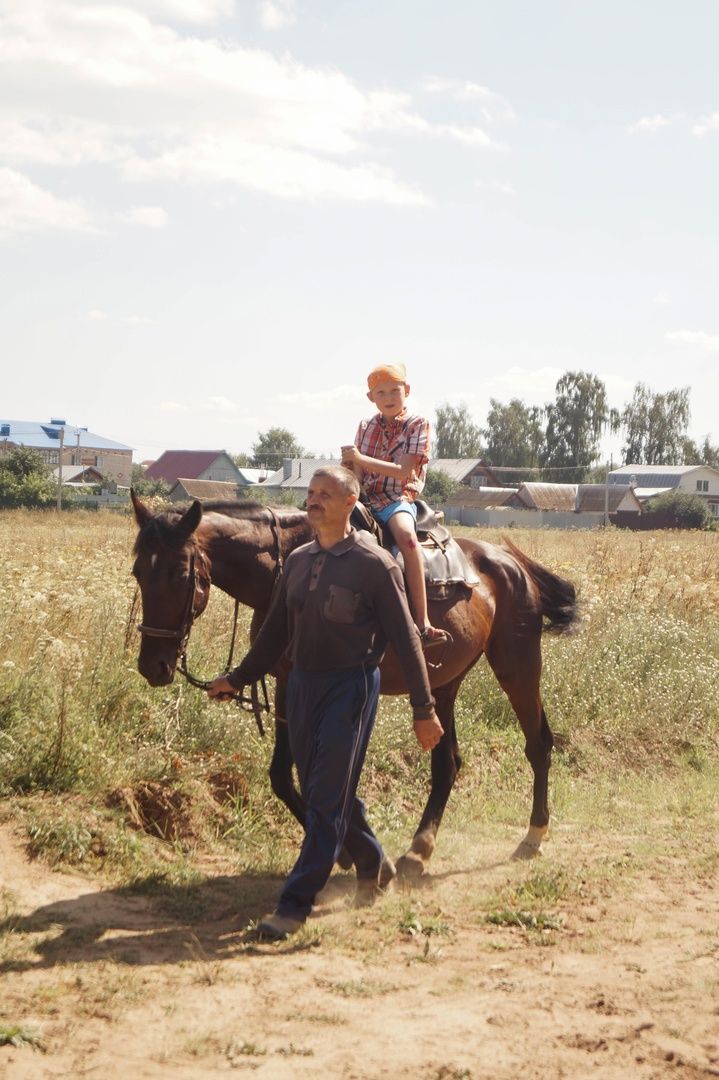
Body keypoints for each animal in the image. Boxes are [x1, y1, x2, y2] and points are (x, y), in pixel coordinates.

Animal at [130, 492, 578, 876]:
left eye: (179, 573)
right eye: (138, 572)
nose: (153, 666)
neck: (289, 569)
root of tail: (512, 564)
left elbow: (329, 772)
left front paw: (354, 852)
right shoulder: (288, 683)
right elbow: (283, 775)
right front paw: (348, 852)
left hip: (517, 668)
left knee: (538, 745)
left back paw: (532, 836)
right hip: (442, 686)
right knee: (447, 764)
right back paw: (419, 850)